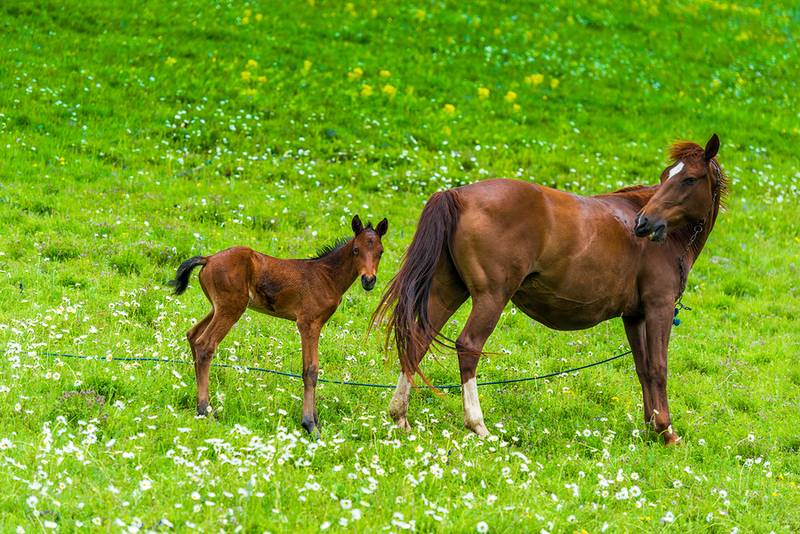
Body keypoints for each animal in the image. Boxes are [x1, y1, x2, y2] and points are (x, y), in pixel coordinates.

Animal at [170, 215, 390, 436]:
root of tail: (208, 258)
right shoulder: (308, 323)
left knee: (193, 335)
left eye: (380, 252)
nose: (369, 280)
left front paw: (317, 422)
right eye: (356, 250)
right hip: (231, 308)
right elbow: (310, 370)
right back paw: (203, 410)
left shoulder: (315, 324)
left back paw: (206, 405)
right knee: (205, 344)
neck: (327, 276)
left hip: (218, 307)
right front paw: (310, 425)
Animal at [374, 136, 724, 446]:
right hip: (491, 298)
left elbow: (643, 369)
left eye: (688, 178)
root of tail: (457, 194)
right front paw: (666, 430)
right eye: (667, 177)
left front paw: (652, 426)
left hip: (448, 290)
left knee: (418, 339)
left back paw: (400, 413)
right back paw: (477, 424)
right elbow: (659, 367)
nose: (644, 223)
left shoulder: (634, 317)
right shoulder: (658, 308)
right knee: (468, 346)